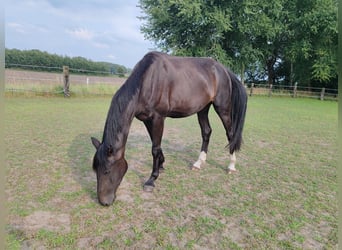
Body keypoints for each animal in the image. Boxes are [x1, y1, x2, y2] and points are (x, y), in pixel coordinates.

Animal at [89, 50, 247, 205]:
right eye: (95, 169)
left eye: (107, 171)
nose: (104, 201)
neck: (147, 80)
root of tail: (224, 70)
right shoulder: (147, 120)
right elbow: (156, 144)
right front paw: (161, 164)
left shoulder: (158, 118)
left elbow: (154, 148)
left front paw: (151, 180)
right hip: (203, 108)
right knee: (206, 132)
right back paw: (198, 163)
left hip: (223, 108)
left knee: (230, 134)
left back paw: (231, 166)